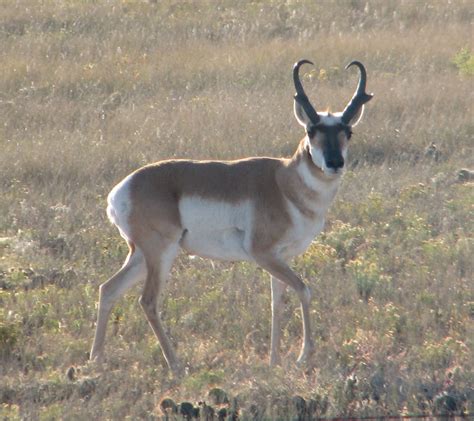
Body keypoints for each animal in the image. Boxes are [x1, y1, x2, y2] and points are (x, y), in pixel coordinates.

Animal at [90, 58, 374, 370]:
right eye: (311, 130)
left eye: (348, 132)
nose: (335, 162)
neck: (283, 183)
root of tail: (121, 190)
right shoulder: (263, 254)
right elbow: (303, 289)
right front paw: (303, 355)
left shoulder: (281, 258)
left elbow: (276, 302)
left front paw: (274, 361)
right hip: (160, 254)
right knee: (148, 301)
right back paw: (176, 366)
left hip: (142, 256)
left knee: (108, 289)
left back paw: (95, 361)